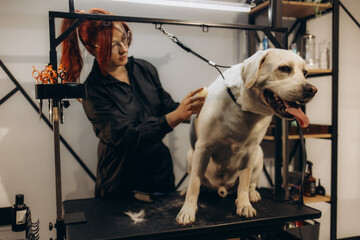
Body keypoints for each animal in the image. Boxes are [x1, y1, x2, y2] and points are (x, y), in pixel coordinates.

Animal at [176, 48, 316, 225]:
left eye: (305, 73)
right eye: (284, 68)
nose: (312, 90)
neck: (244, 108)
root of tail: (221, 188)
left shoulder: (251, 150)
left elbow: (244, 182)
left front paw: (244, 205)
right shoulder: (202, 148)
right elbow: (194, 183)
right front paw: (187, 210)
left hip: (259, 155)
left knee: (251, 183)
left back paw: (253, 194)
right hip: (191, 155)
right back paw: (185, 191)